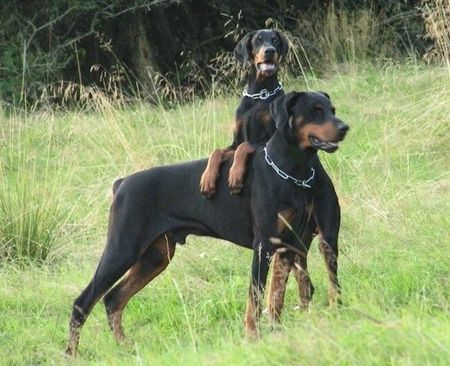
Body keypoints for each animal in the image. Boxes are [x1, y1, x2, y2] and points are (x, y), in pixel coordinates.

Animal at [200, 28, 288, 197]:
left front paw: (235, 174)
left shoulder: (268, 137)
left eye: (275, 40)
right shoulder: (235, 140)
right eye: (257, 41)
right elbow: (217, 151)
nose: (270, 51)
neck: (259, 93)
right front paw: (207, 178)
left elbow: (244, 146)